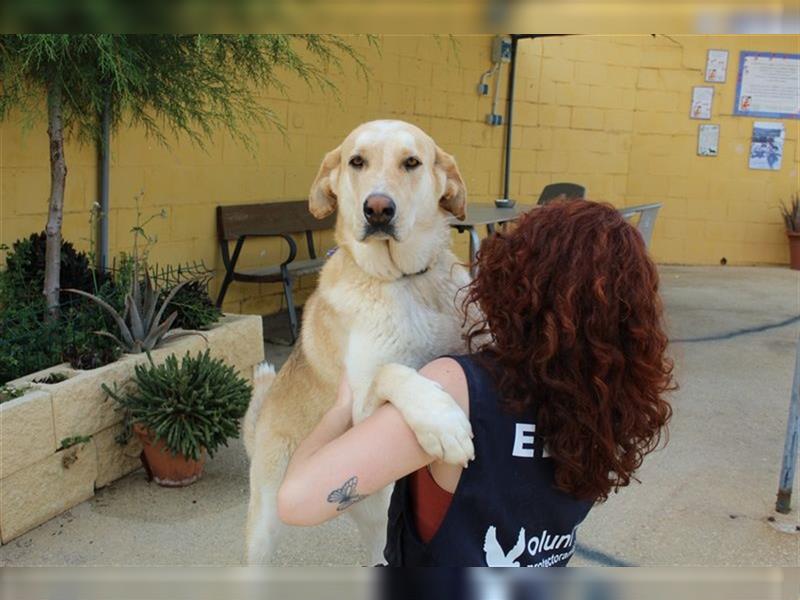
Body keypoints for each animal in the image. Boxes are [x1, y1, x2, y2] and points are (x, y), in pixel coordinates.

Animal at [244, 119, 476, 564]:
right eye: (357, 162)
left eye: (411, 162)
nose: (378, 209)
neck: (406, 282)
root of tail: (260, 422)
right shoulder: (361, 410)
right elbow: (393, 371)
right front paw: (442, 420)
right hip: (266, 523)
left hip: (377, 519)